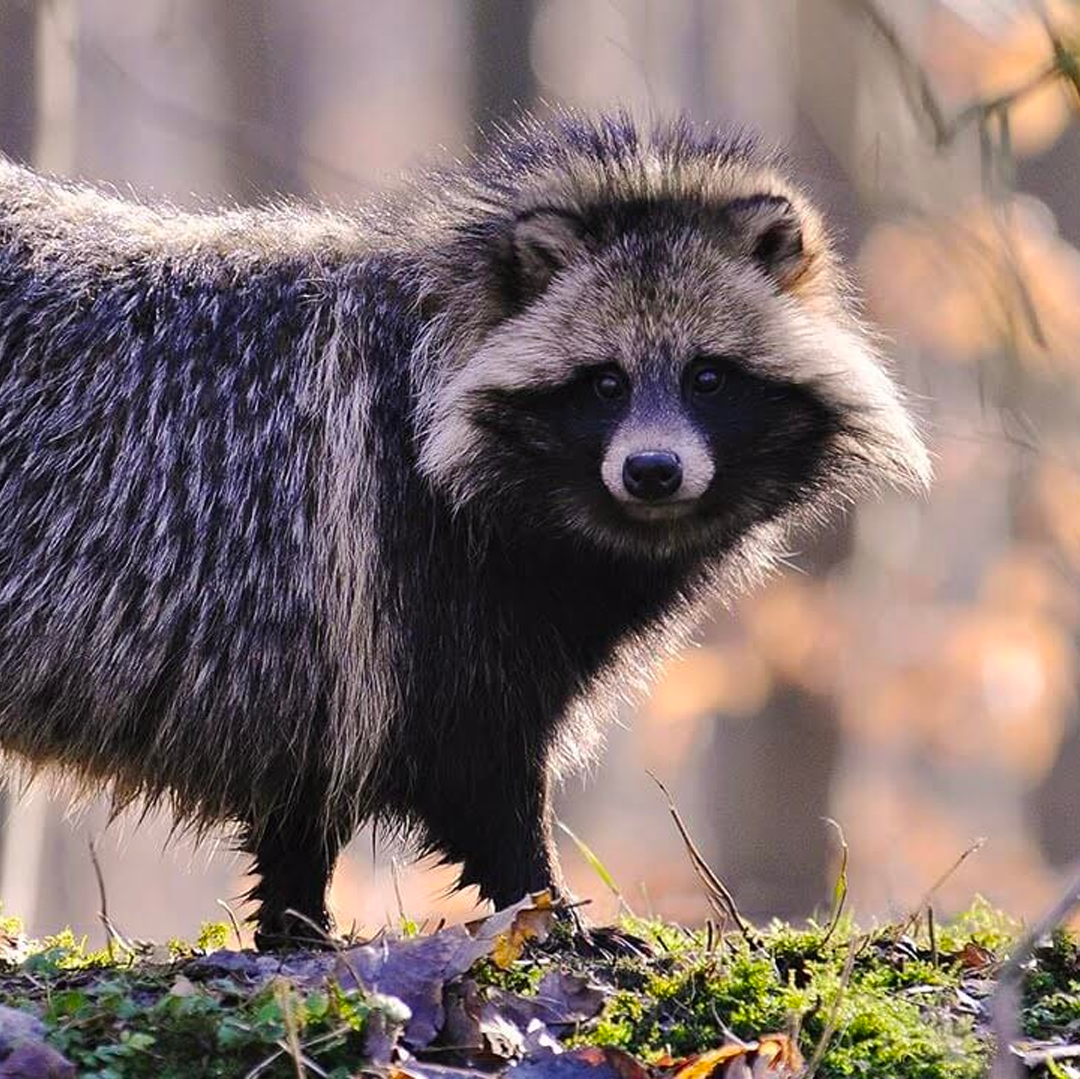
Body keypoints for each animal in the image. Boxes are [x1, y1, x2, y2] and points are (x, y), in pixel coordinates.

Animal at [0, 113, 928, 950]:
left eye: (708, 376)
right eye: (605, 382)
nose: (653, 471)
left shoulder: (332, 653)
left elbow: (310, 791)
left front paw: (297, 923)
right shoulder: (400, 581)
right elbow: (478, 772)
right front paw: (550, 908)